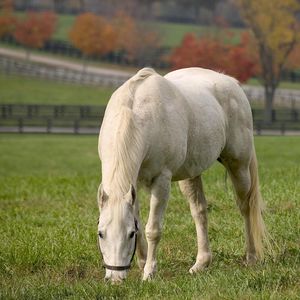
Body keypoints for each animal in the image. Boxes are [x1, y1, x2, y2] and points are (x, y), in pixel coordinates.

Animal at [98, 67, 268, 282]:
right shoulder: (132, 184)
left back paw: (251, 256)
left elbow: (153, 229)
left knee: (246, 207)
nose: (115, 278)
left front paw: (149, 273)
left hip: (239, 166)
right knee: (200, 211)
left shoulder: (161, 181)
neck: (138, 114)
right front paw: (143, 263)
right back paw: (201, 263)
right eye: (100, 233)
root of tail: (232, 82)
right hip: (191, 174)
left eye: (129, 234)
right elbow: (140, 223)